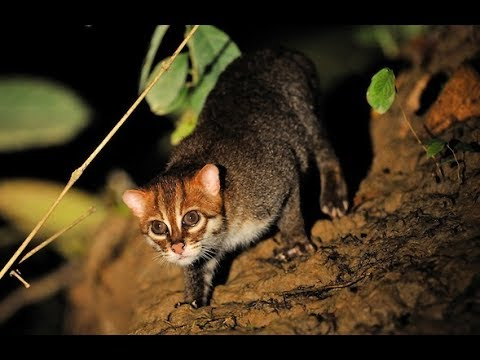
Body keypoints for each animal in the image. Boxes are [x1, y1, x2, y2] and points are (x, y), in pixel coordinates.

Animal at [123, 46, 348, 308]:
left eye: (191, 218)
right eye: (158, 227)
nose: (177, 247)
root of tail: (280, 50)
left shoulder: (281, 174)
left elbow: (291, 214)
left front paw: (295, 244)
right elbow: (196, 268)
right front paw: (191, 302)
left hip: (306, 112)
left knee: (325, 149)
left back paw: (333, 196)